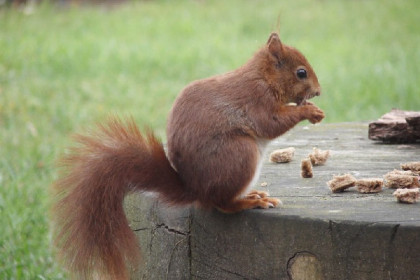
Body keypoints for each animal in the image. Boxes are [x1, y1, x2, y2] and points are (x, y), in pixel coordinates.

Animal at [50, 32, 324, 278]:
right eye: (301, 72)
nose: (319, 91)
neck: (263, 77)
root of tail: (195, 190)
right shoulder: (257, 100)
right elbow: (271, 123)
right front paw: (309, 111)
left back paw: (252, 194)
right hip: (240, 155)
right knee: (221, 204)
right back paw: (250, 201)